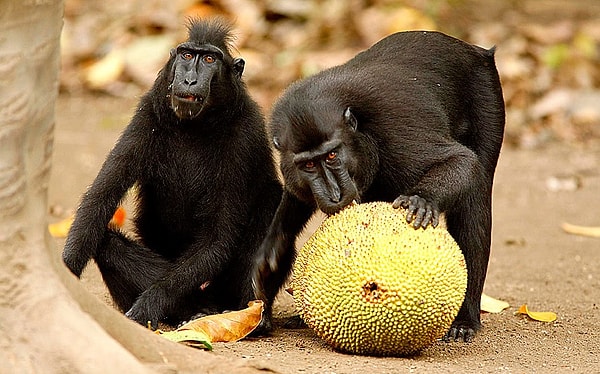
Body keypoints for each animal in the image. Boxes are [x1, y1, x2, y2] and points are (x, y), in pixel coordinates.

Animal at [62, 18, 282, 328]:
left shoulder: (244, 134)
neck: (195, 126)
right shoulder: (147, 115)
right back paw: (196, 310)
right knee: (106, 243)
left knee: (273, 198)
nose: (189, 79)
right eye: (187, 55)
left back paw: (250, 315)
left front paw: (150, 303)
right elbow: (98, 201)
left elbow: (217, 237)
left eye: (210, 59)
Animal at [253, 31, 506, 342]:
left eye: (332, 155)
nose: (335, 194)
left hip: (487, 94)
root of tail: (476, 50)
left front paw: (422, 199)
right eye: (309, 165)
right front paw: (271, 262)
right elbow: (293, 209)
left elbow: (461, 160)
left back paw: (465, 319)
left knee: (475, 195)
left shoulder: (395, 128)